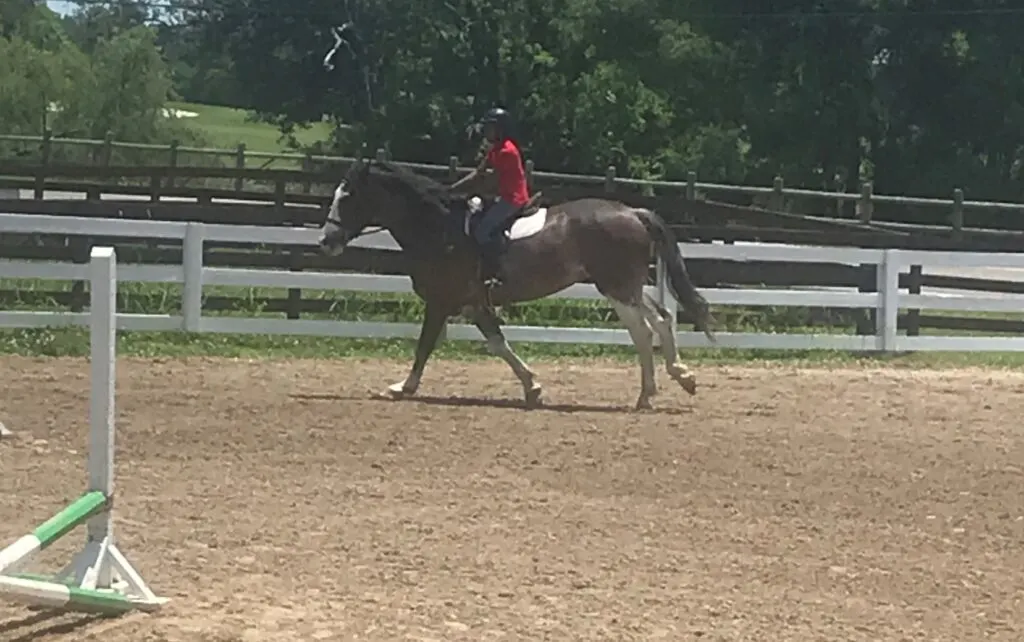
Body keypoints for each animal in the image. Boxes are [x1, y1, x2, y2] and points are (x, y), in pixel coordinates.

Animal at [315, 158, 716, 409]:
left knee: (646, 329)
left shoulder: (442, 301)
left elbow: (425, 345)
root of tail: (632, 212)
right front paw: (532, 387)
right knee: (658, 320)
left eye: (348, 197)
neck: (439, 228)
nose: (326, 241)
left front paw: (403, 387)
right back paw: (671, 381)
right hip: (625, 286)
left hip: (617, 287)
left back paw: (655, 391)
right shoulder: (473, 303)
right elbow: (497, 344)